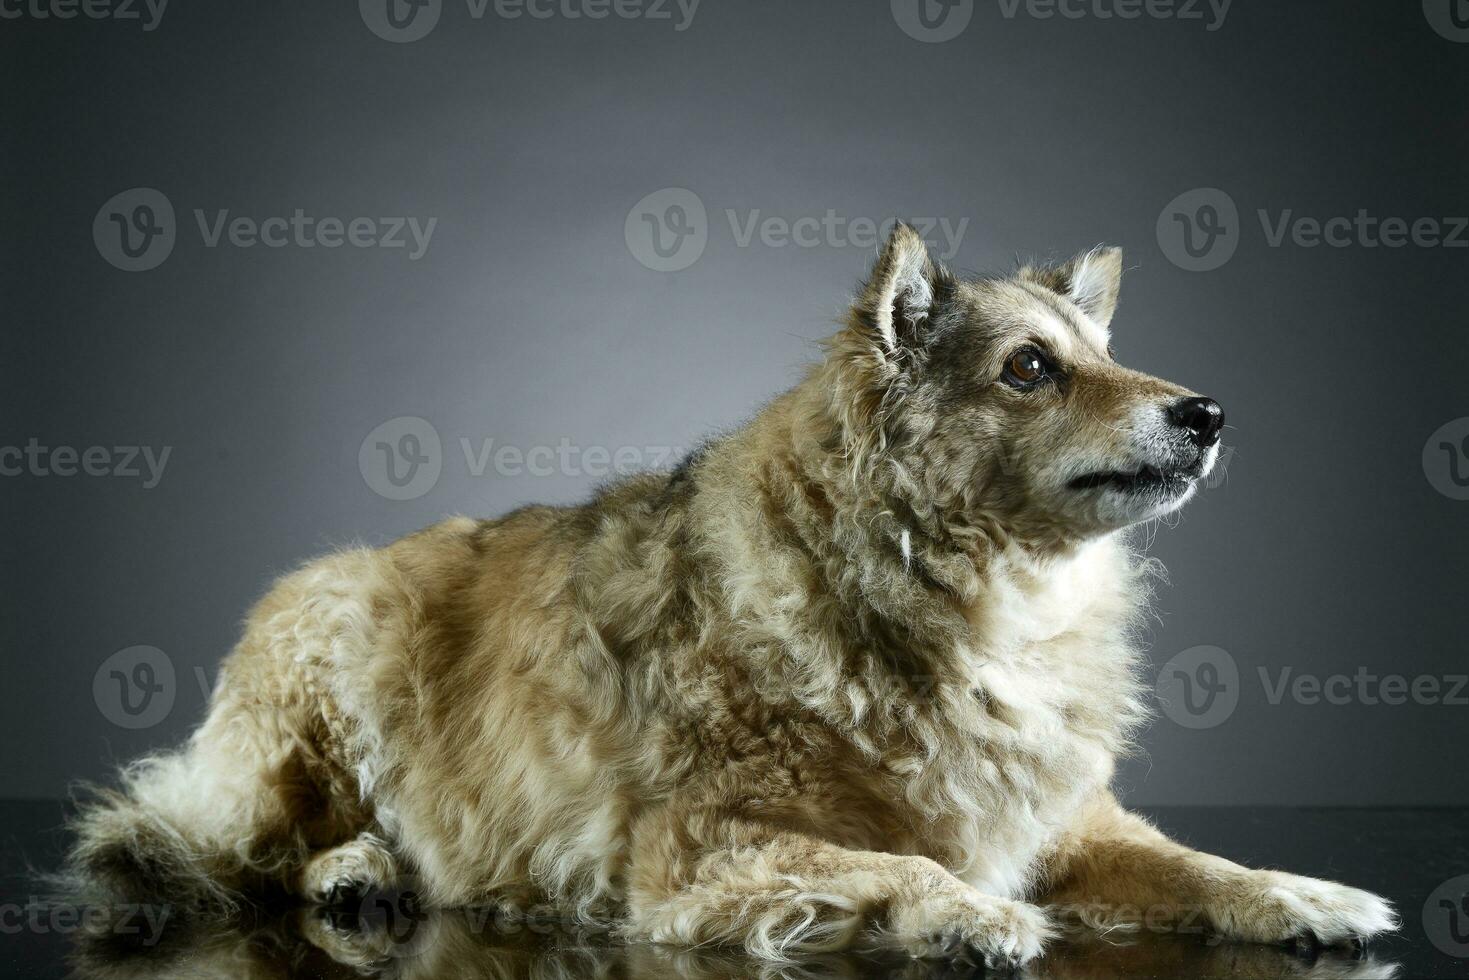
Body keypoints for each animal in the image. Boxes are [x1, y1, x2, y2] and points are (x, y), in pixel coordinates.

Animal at [71, 227, 1398, 963]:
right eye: (1029, 368)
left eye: (1107, 353)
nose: (1205, 412)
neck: (972, 595)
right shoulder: (701, 853)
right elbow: (903, 866)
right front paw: (965, 914)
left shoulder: (1065, 822)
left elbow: (1198, 866)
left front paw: (1296, 890)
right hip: (324, 683)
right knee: (216, 840)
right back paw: (352, 863)